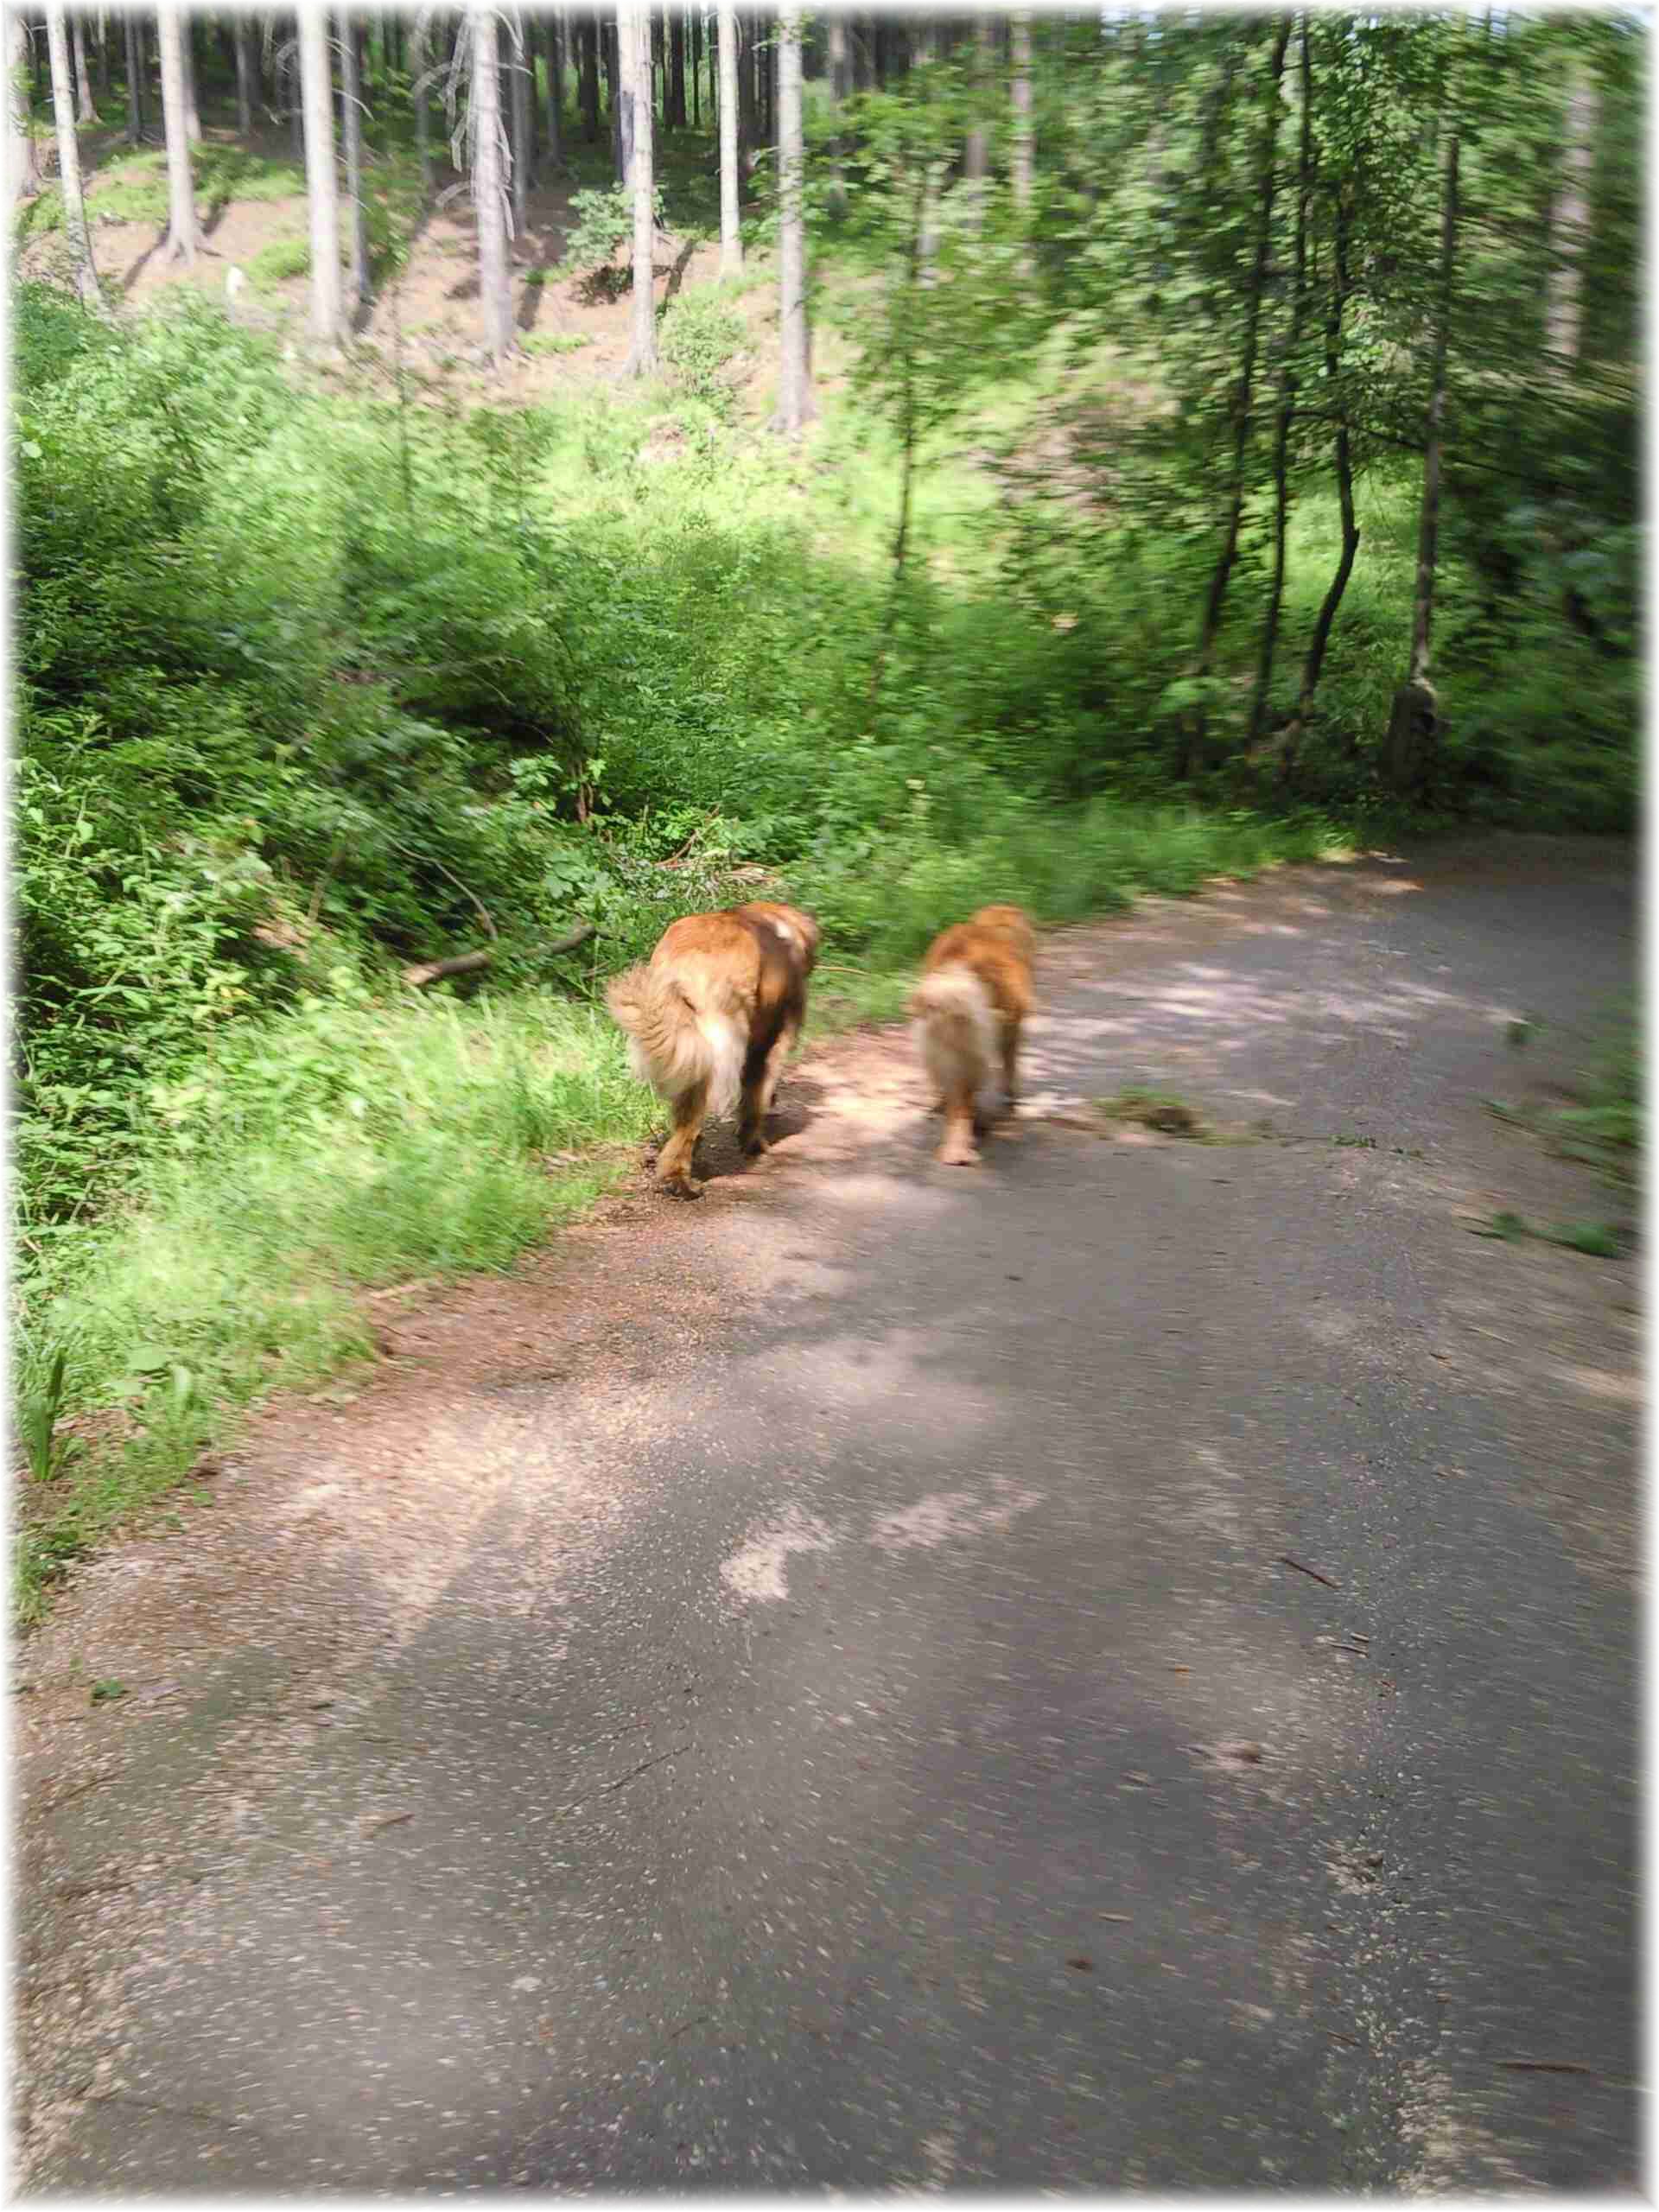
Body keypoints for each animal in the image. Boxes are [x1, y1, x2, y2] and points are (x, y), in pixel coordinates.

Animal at [606, 902, 823, 1203]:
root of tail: (687, 958)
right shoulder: (773, 1042)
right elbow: (757, 1094)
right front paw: (753, 1141)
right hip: (720, 1047)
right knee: (692, 1120)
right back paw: (682, 1183)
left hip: (690, 1044)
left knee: (684, 1117)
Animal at [911, 902, 1039, 1167]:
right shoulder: (1011, 1031)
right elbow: (1010, 1066)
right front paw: (1010, 1096)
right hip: (973, 1056)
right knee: (964, 1102)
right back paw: (966, 1143)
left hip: (942, 1054)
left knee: (955, 1101)